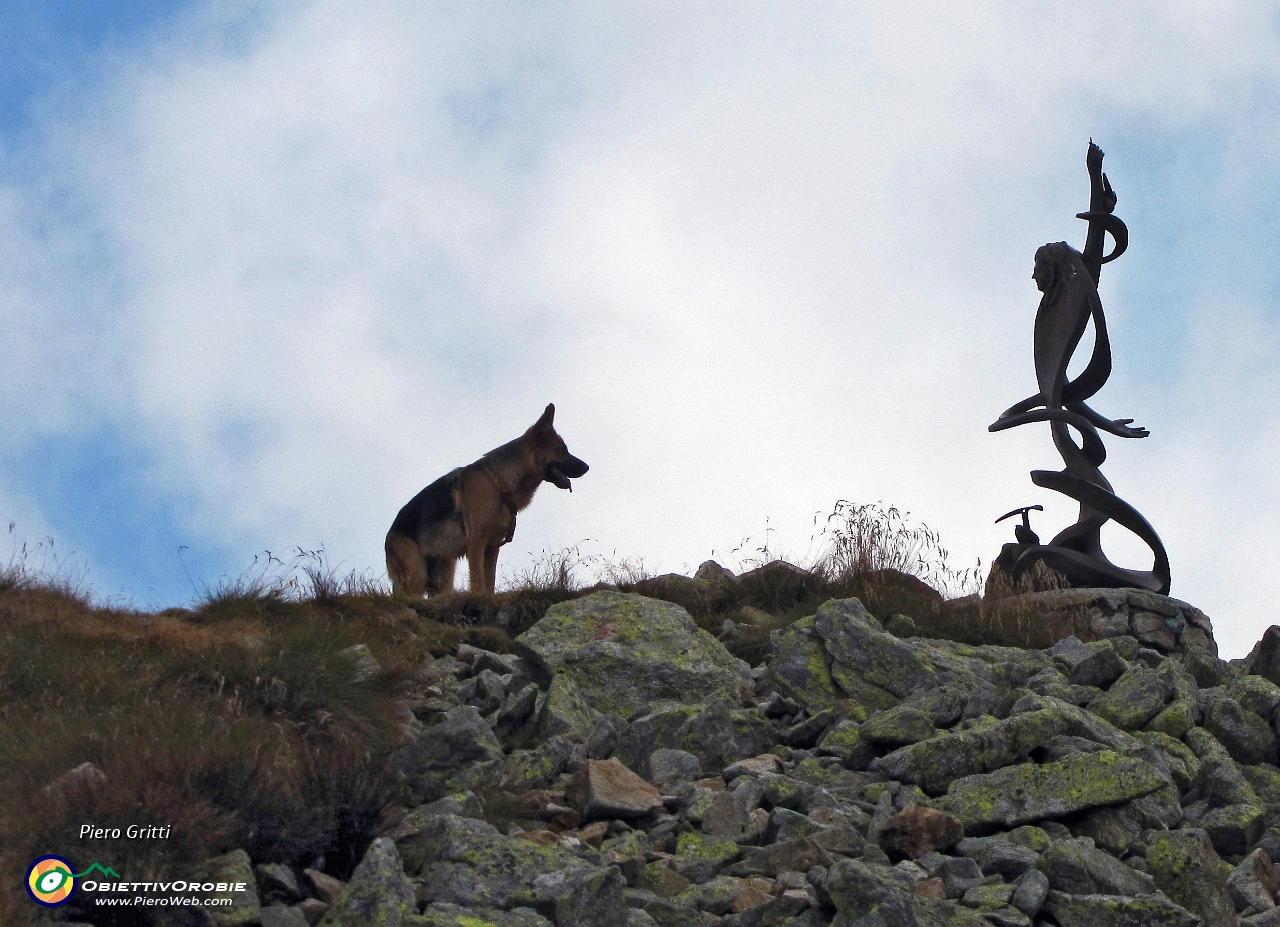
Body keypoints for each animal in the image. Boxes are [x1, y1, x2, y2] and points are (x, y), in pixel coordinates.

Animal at [384, 409, 588, 596]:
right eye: (562, 450)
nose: (587, 467)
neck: (498, 483)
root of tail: (389, 534)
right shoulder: (476, 542)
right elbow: (477, 580)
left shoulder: (492, 547)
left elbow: (489, 581)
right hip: (416, 574)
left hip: (443, 574)